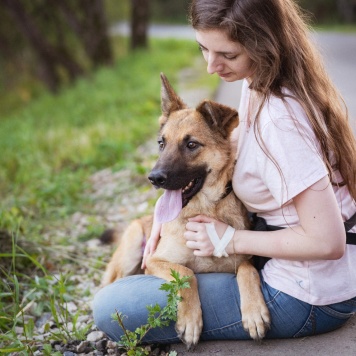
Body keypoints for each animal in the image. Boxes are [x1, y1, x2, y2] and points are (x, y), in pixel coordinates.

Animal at [102, 73, 270, 348]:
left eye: (191, 144)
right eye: (161, 143)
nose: (154, 178)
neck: (205, 209)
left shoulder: (243, 259)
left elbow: (247, 270)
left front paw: (255, 312)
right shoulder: (155, 260)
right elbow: (187, 273)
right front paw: (190, 322)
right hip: (130, 251)